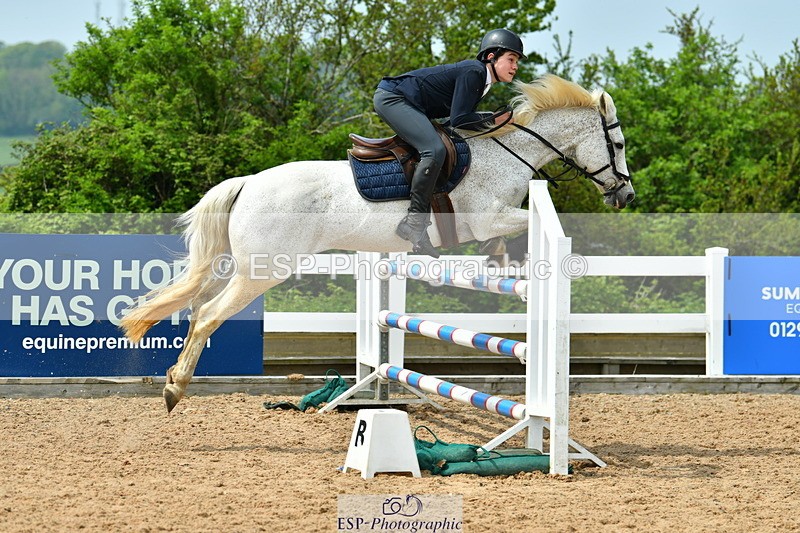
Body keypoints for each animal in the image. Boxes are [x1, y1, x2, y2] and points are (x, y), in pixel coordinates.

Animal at [120, 74, 635, 412]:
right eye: (619, 145)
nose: (625, 195)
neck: (508, 153)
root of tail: (248, 183)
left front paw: (501, 265)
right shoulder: (488, 218)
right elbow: (523, 227)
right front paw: (509, 265)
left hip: (238, 265)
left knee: (194, 305)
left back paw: (173, 378)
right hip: (263, 270)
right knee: (208, 314)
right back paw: (174, 389)